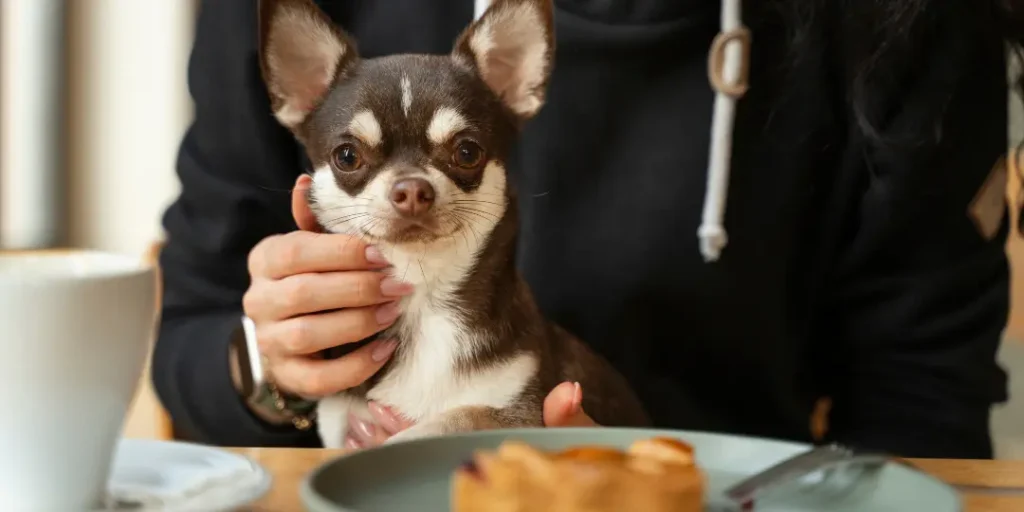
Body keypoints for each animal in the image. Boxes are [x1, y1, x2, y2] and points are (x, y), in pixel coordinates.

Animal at [260, 0, 651, 446]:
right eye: (347, 156)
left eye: (467, 152)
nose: (412, 189)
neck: (422, 294)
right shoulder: (342, 422)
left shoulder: (522, 412)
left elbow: (455, 417)